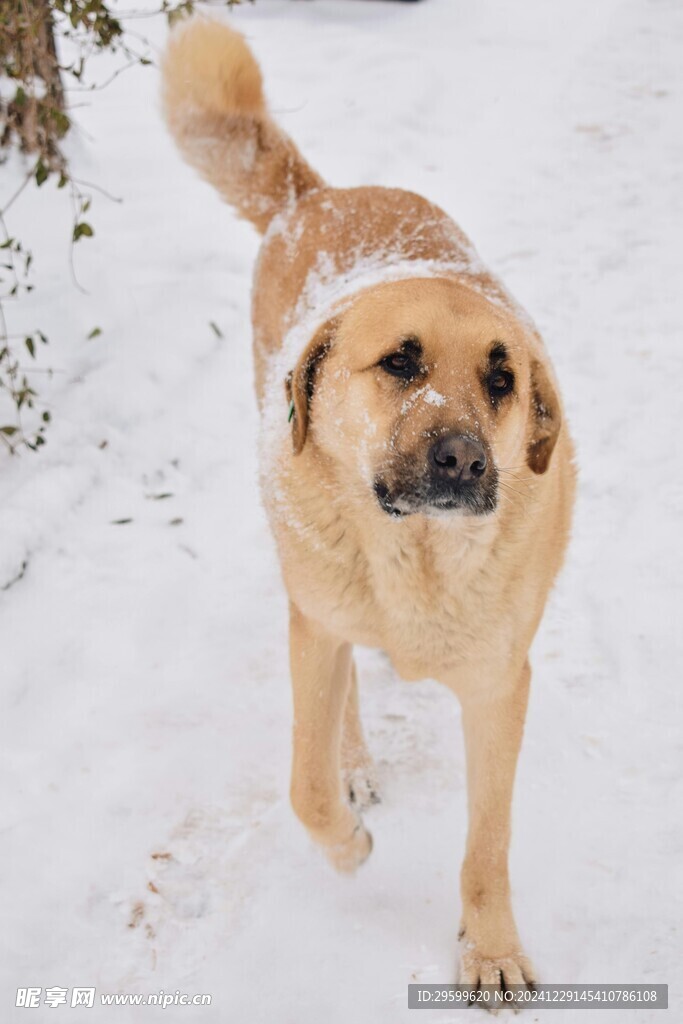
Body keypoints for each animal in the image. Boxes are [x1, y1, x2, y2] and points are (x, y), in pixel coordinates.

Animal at [162, 14, 573, 991]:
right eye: (400, 363)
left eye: (503, 381)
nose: (463, 458)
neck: (416, 557)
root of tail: (319, 195)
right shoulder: (314, 626)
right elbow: (304, 784)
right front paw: (346, 843)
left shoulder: (498, 685)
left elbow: (486, 846)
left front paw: (490, 951)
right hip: (313, 590)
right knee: (338, 684)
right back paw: (352, 770)